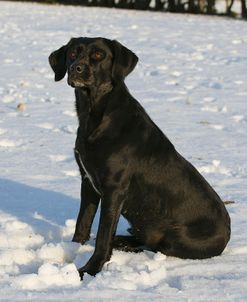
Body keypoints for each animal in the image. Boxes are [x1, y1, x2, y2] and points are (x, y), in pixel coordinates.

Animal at [49, 37, 231, 278]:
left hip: (175, 238)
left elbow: (103, 236)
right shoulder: (87, 181)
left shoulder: (114, 189)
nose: (76, 68)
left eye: (98, 55)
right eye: (72, 53)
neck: (94, 117)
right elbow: (83, 222)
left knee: (153, 245)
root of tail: (228, 234)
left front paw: (89, 270)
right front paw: (74, 249)